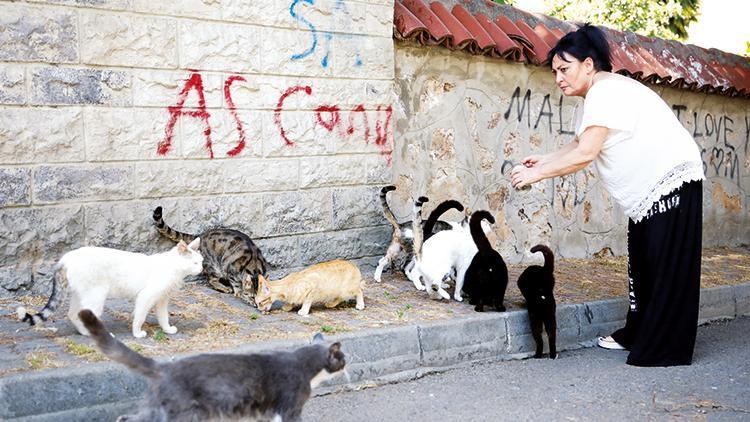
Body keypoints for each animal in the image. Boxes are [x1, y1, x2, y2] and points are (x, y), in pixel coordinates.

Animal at [18, 239, 203, 338]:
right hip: (96, 296)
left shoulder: (162, 300)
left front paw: (167, 329)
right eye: (195, 263)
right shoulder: (146, 297)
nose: (201, 269)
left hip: (82, 294)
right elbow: (140, 317)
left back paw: (85, 333)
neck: (173, 268)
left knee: (73, 314)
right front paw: (137, 333)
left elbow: (163, 317)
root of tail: (65, 259)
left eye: (201, 261)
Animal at [80, 308, 346, 420]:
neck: (306, 365)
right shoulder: (290, 407)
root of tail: (165, 367)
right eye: (343, 358)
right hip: (182, 412)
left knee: (126, 418)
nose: (347, 363)